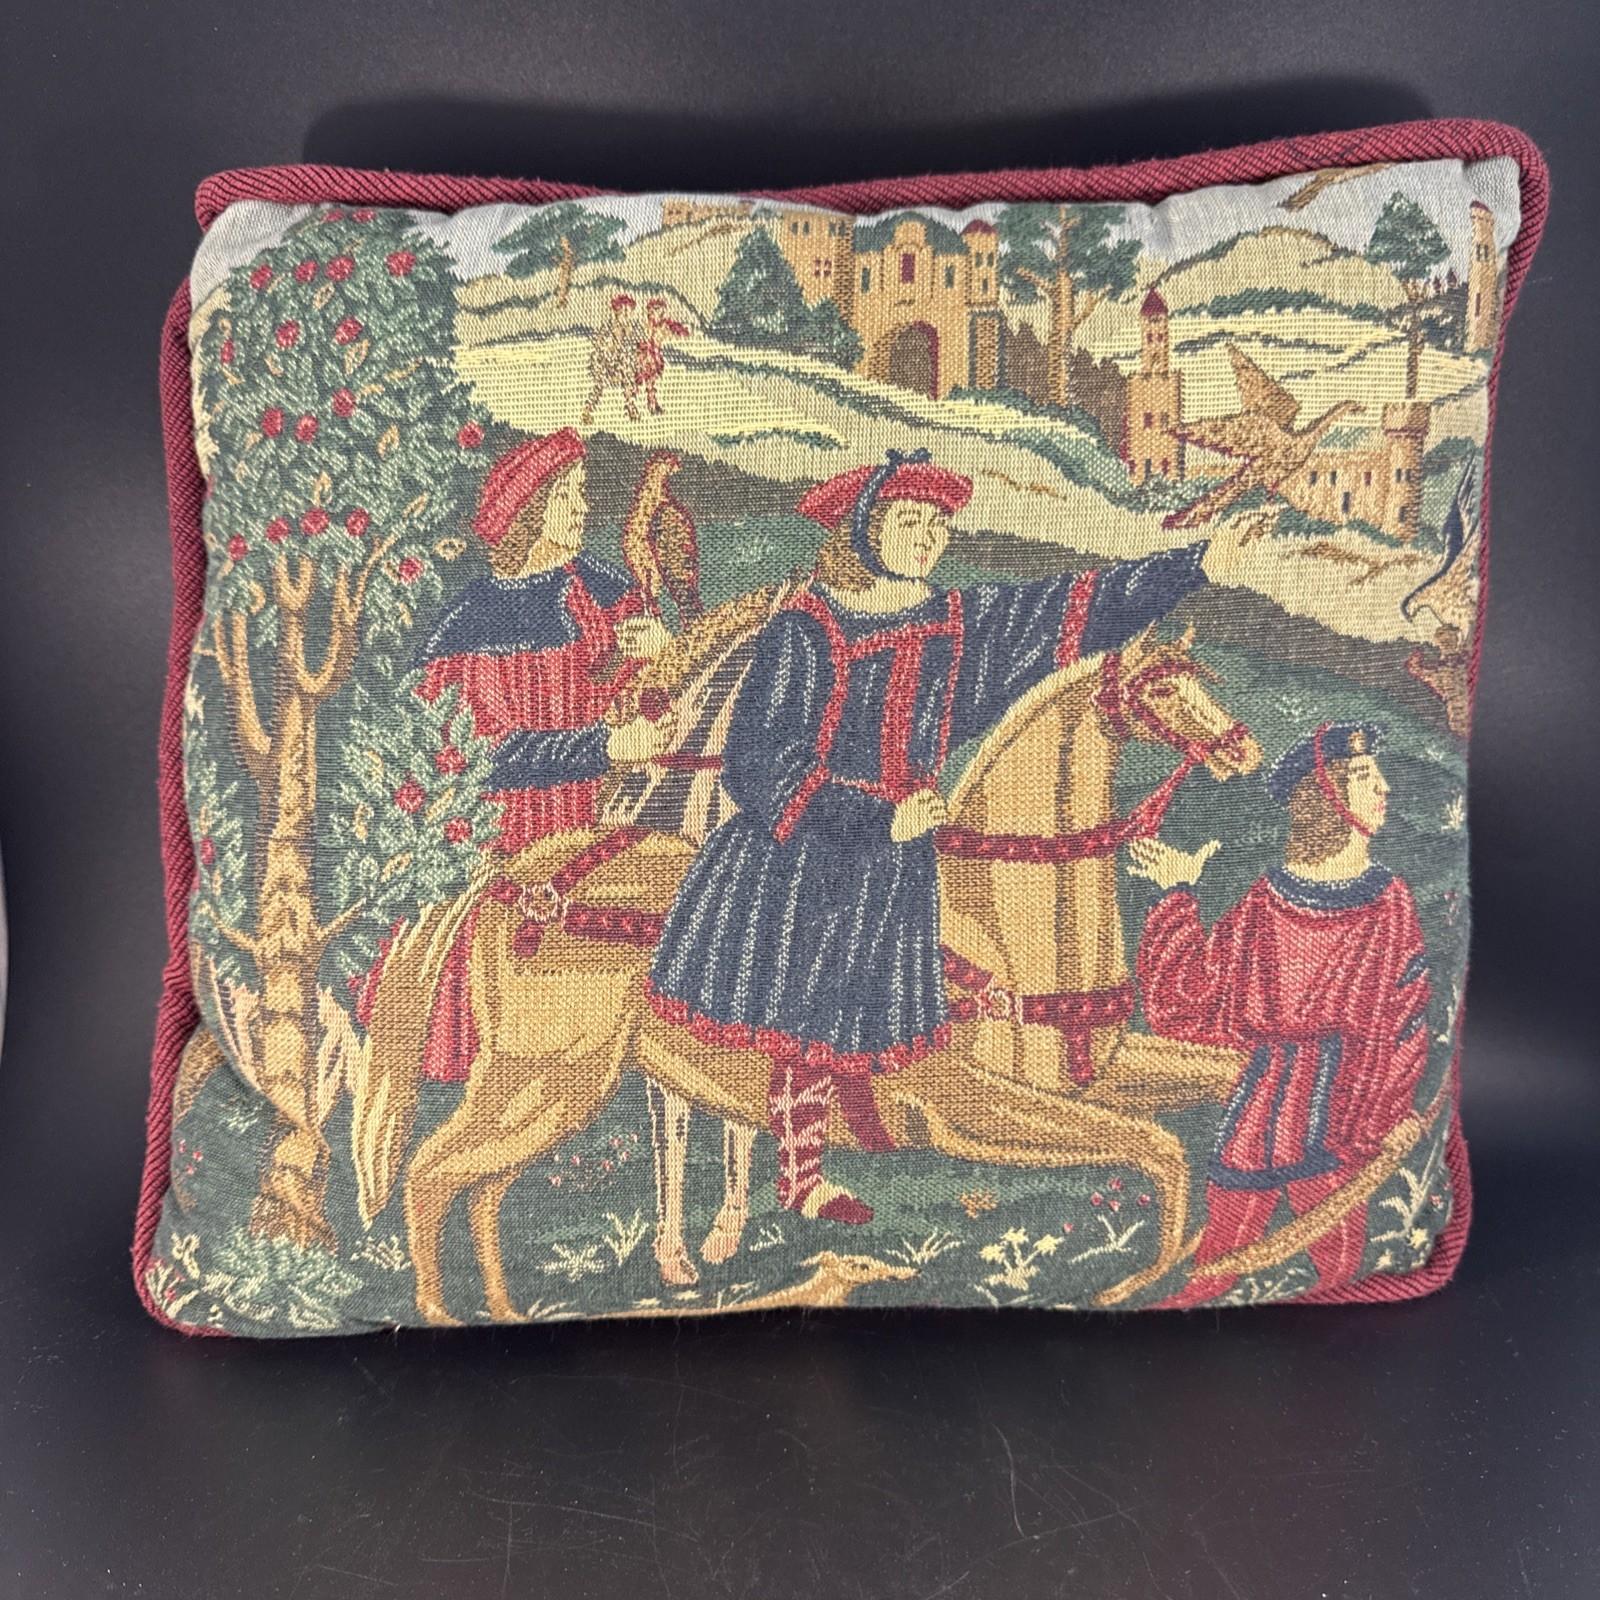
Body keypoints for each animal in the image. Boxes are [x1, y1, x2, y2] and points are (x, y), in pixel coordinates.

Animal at [355, 608, 1263, 1326]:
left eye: (1199, 677)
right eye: (1159, 688)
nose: (1244, 751)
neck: (997, 919)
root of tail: (516, 880)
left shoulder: (1099, 1070)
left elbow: (1207, 1097)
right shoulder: (961, 1107)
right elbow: (1156, 1148)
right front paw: (1138, 1282)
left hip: (552, 1088)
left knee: (484, 1188)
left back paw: (506, 1306)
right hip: (542, 1075)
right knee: (434, 1174)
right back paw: (448, 1313)